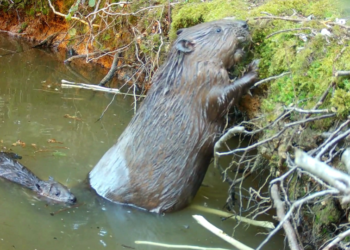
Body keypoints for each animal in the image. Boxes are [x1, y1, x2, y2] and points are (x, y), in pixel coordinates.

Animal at [89, 19, 260, 213]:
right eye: (218, 29)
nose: (244, 24)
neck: (183, 72)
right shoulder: (202, 83)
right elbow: (223, 97)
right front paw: (253, 68)